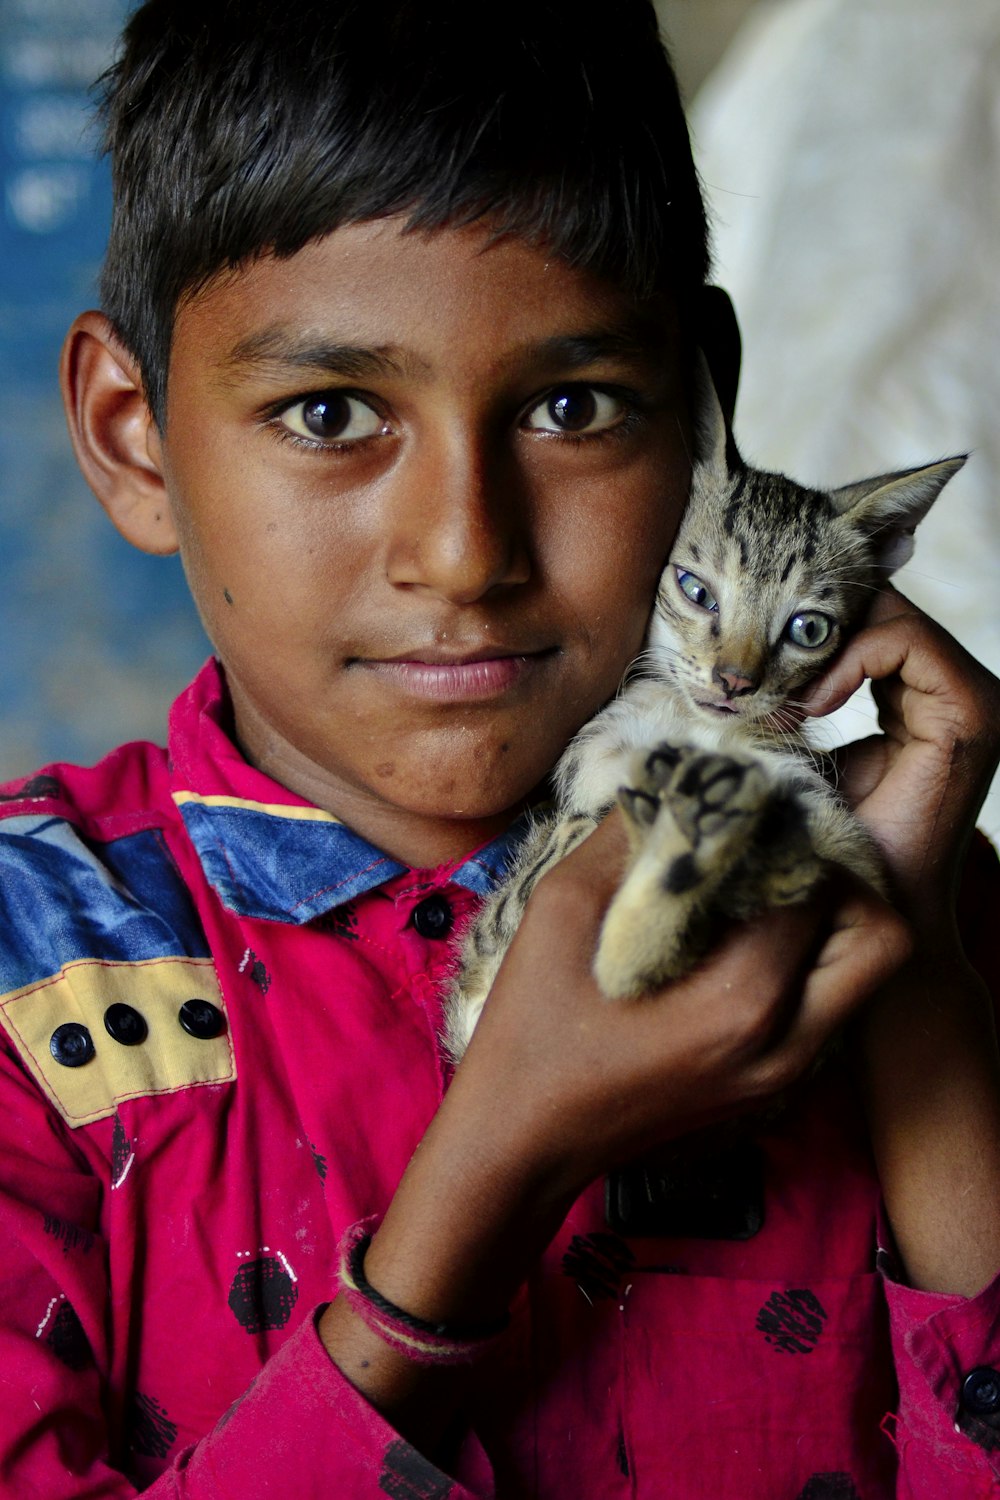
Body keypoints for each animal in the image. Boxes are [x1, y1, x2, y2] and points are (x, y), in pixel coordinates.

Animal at [443, 354, 959, 1056]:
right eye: (695, 591)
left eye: (809, 629)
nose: (735, 681)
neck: (697, 730)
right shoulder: (548, 849)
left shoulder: (836, 831)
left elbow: (843, 853)